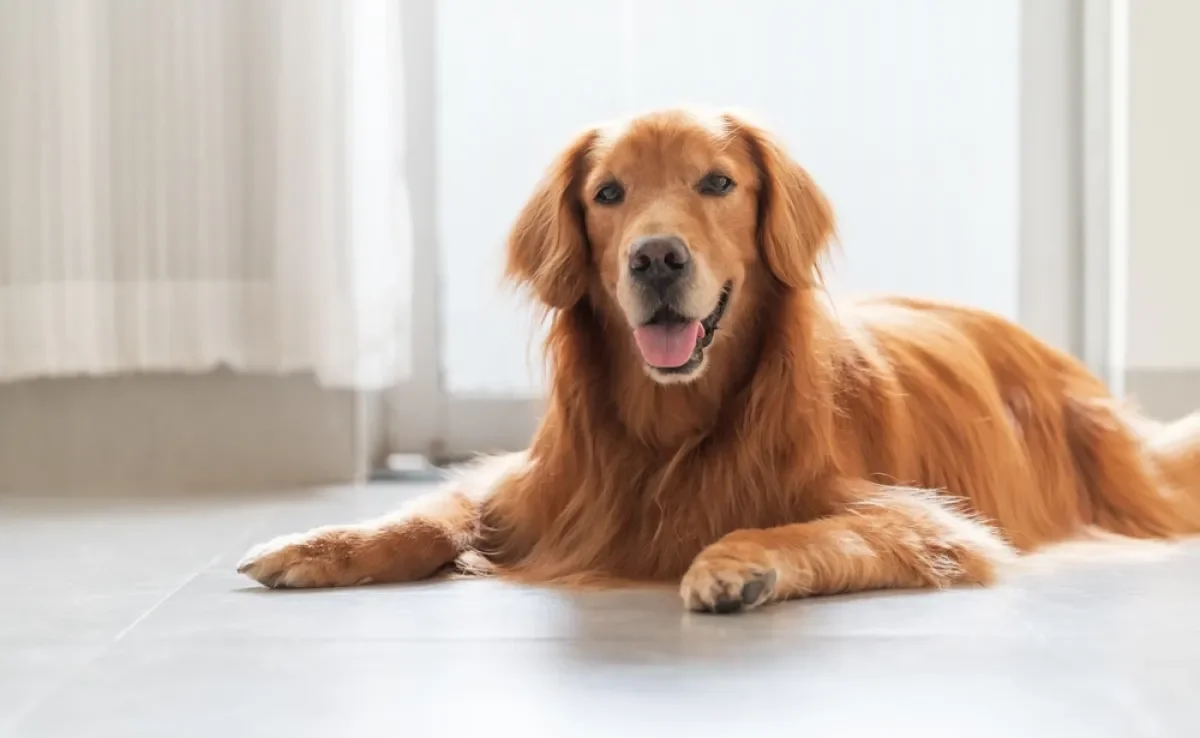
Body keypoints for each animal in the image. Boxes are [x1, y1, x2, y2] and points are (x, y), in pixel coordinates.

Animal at [236, 109, 1200, 614]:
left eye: (717, 183)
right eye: (609, 193)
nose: (656, 258)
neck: (672, 431)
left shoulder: (933, 522)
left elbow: (821, 527)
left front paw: (737, 562)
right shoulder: (529, 485)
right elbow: (431, 515)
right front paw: (322, 543)